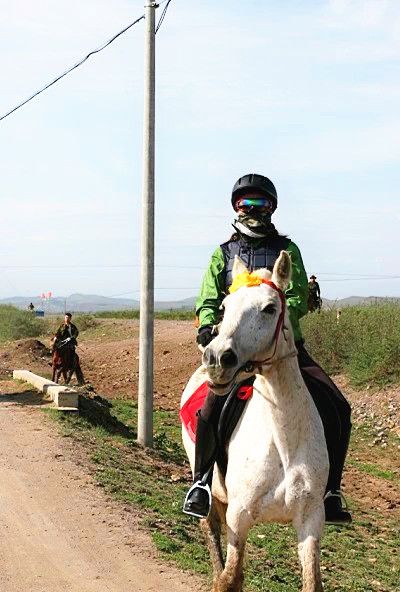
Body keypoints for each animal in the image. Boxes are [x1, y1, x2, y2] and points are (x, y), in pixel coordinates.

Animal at [180, 251, 328, 592]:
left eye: (270, 308)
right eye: (224, 307)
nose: (217, 359)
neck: (284, 441)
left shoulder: (311, 519)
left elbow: (312, 582)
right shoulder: (240, 516)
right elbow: (229, 579)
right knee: (211, 529)